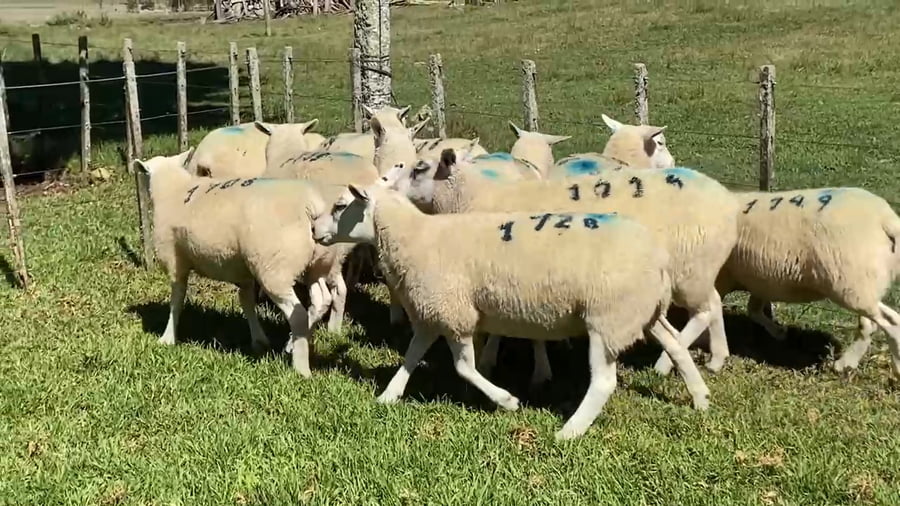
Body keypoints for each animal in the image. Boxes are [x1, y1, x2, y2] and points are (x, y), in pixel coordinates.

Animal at [134, 147, 334, 378]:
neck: (174, 189)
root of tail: (310, 206)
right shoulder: (243, 271)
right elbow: (246, 303)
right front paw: (258, 340)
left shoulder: (175, 260)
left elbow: (177, 300)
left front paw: (167, 338)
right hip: (317, 264)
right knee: (322, 299)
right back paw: (293, 343)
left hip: (274, 267)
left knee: (298, 312)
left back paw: (301, 368)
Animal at [312, 182, 710, 440]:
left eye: (340, 206)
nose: (314, 230)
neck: (414, 237)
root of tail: (659, 259)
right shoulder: (432, 311)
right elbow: (410, 357)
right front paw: (388, 396)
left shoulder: (454, 312)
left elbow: (464, 367)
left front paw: (507, 401)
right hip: (643, 312)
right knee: (675, 344)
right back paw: (701, 399)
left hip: (608, 317)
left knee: (604, 381)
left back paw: (570, 431)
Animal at [399, 152, 740, 382]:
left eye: (419, 168)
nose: (388, 187)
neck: (473, 197)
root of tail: (728, 202)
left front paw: (530, 369)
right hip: (699, 270)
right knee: (714, 303)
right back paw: (717, 357)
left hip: (689, 268)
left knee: (703, 311)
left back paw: (666, 363)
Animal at [656, 186, 900, 378]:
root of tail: (886, 219)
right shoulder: (758, 279)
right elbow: (752, 310)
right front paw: (778, 332)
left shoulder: (719, 279)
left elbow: (712, 314)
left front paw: (710, 357)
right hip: (863, 284)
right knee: (876, 322)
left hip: (850, 282)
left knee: (888, 322)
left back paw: (860, 365)